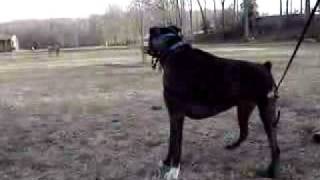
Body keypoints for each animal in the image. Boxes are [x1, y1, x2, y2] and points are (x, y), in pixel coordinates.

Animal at [148, 26, 280, 179]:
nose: (145, 46)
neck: (172, 50)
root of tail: (265, 66)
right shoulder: (173, 116)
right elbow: (171, 141)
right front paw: (166, 162)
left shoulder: (177, 115)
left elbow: (176, 144)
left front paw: (173, 170)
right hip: (244, 108)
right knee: (244, 132)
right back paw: (232, 146)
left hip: (266, 112)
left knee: (274, 147)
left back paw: (271, 172)